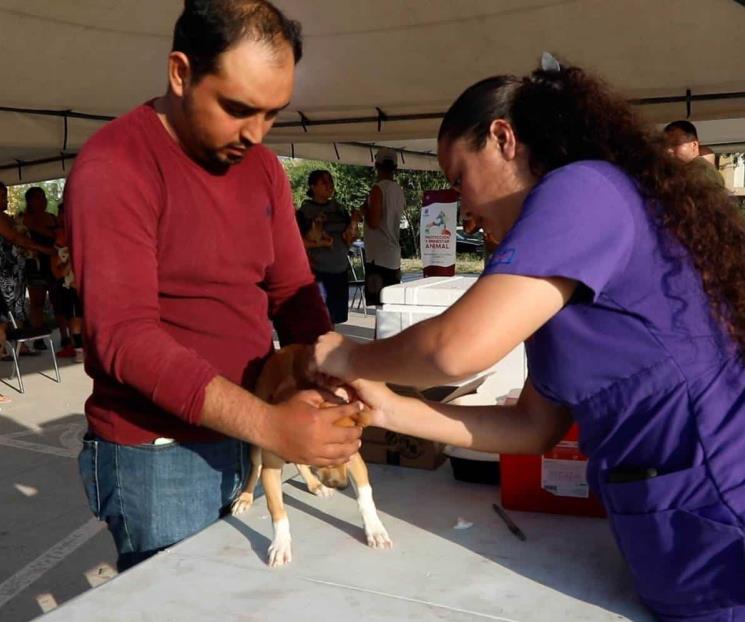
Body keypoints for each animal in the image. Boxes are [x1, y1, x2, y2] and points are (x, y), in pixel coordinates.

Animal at [231, 346, 392, 572]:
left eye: (345, 456)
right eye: (326, 457)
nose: (342, 486)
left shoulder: (355, 458)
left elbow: (365, 497)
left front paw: (375, 530)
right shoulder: (271, 468)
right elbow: (278, 511)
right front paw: (280, 545)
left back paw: (316, 485)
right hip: (256, 441)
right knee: (255, 467)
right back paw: (245, 497)